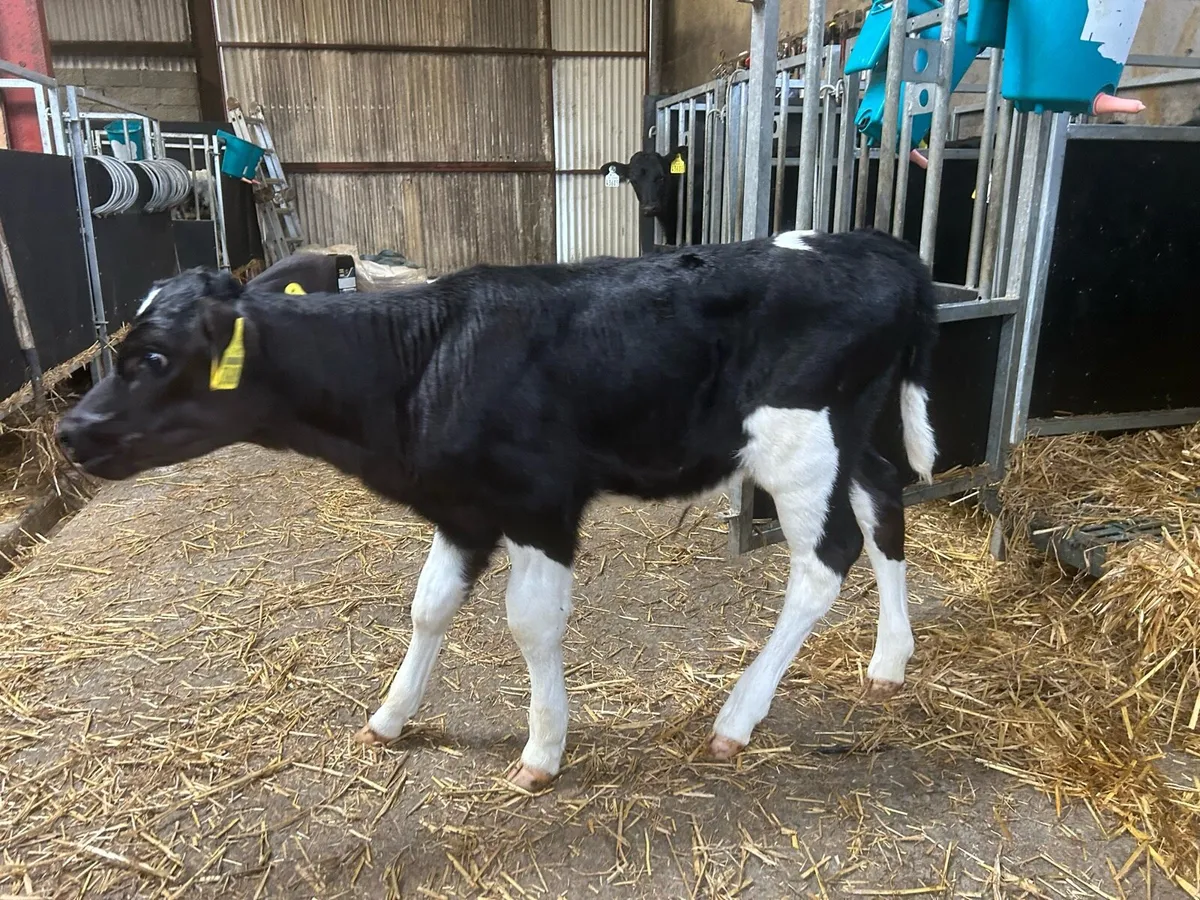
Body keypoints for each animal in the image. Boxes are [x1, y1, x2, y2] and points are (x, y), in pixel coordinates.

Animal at [57, 228, 938, 791]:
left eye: (154, 358)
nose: (69, 430)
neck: (426, 361)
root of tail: (881, 243)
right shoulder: (463, 507)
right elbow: (428, 607)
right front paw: (390, 717)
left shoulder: (540, 503)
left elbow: (529, 624)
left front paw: (543, 748)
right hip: (852, 427)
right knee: (885, 495)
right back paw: (889, 660)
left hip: (798, 442)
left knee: (824, 562)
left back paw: (738, 716)